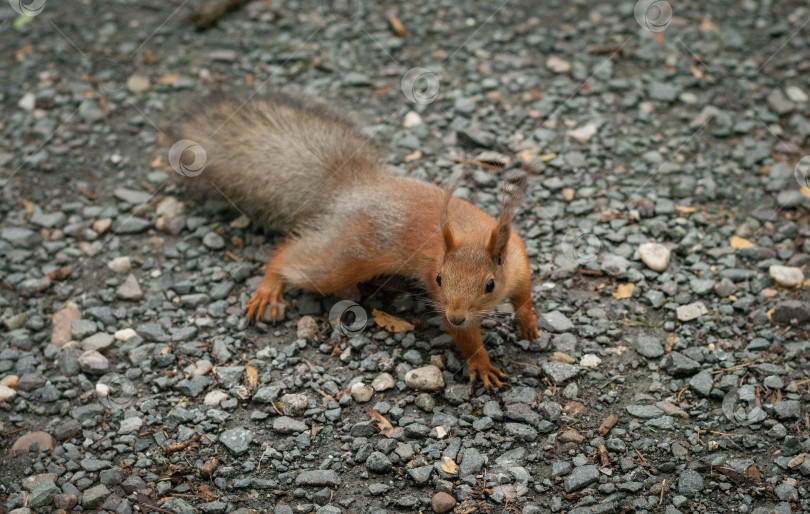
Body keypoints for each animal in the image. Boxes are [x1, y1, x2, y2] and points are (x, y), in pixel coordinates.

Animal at [182, 94, 536, 386]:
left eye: (489, 284)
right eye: (438, 278)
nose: (456, 316)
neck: (473, 235)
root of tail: (353, 191)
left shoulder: (519, 261)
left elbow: (524, 296)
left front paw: (528, 323)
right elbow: (467, 340)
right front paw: (481, 364)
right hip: (342, 259)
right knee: (290, 257)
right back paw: (269, 287)